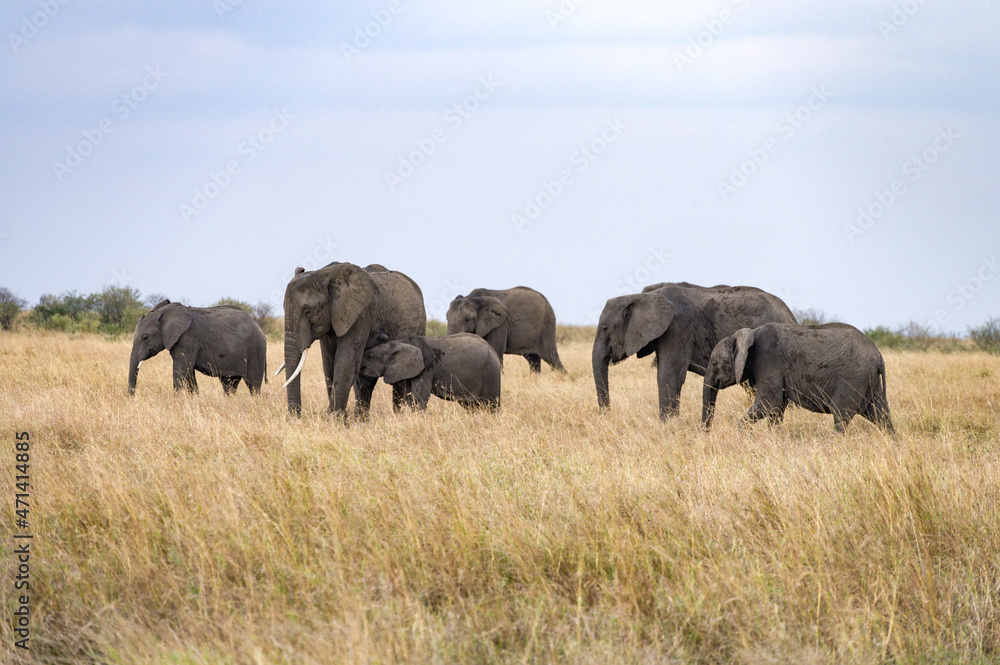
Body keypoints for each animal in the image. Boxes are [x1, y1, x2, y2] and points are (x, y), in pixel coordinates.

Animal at [127, 300, 268, 394]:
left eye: (145, 337)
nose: (132, 398)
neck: (163, 312)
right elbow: (189, 374)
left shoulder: (187, 339)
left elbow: (181, 372)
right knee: (229, 384)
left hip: (255, 349)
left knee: (253, 384)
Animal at [280, 262, 428, 418]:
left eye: (308, 311)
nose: (295, 418)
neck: (324, 276)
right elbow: (329, 365)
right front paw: (341, 419)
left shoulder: (361, 313)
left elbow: (344, 362)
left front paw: (334, 419)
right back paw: (361, 419)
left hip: (419, 325)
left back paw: (400, 415)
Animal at [360, 332, 500, 410]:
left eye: (370, 356)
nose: (382, 336)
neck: (403, 342)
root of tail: (493, 351)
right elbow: (410, 397)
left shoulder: (426, 369)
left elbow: (419, 399)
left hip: (490, 375)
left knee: (492, 405)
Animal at [592, 282, 796, 418]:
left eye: (605, 328)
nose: (608, 416)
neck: (640, 297)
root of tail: (790, 315)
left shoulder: (677, 329)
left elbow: (668, 376)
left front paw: (668, 427)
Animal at [700, 322, 896, 436]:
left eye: (715, 363)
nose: (705, 434)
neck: (750, 333)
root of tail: (879, 357)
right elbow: (777, 408)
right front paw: (774, 438)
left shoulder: (768, 360)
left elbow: (769, 403)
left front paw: (744, 435)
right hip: (870, 382)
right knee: (881, 416)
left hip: (853, 380)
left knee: (841, 417)